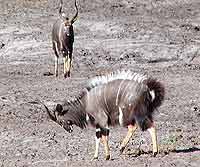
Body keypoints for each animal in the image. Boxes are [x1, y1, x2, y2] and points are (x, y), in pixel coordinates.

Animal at [34, 70, 164, 160]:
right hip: (144, 114)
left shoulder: (102, 120)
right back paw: (152, 151)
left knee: (137, 127)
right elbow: (97, 137)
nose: (68, 130)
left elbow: (104, 136)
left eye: (60, 121)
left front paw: (107, 156)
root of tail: (147, 89)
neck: (85, 104)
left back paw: (128, 149)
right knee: (151, 125)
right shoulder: (97, 124)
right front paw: (95, 157)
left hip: (128, 116)